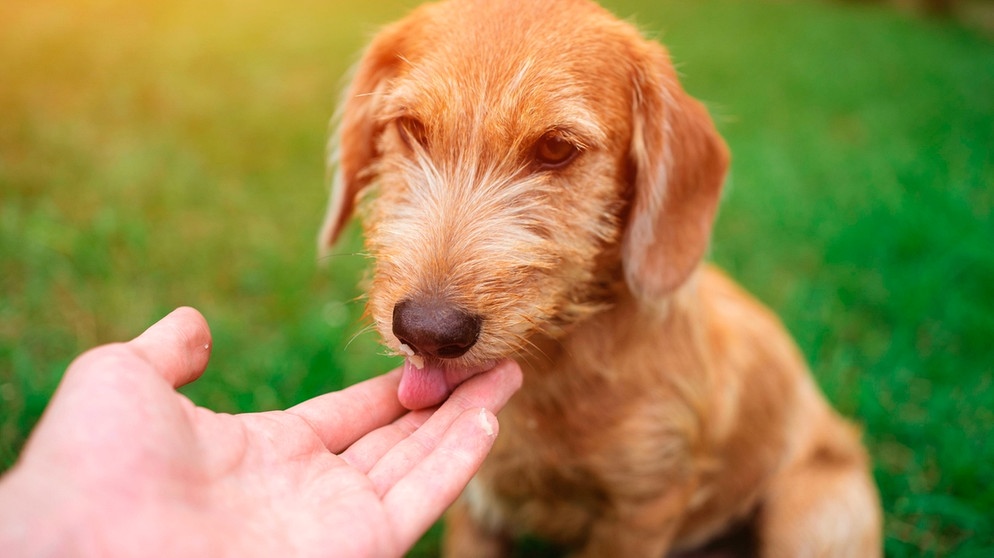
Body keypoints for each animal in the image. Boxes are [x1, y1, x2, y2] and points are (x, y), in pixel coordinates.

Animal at [316, 1, 876, 556]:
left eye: (556, 149)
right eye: (411, 128)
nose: (427, 331)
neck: (551, 369)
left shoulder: (645, 508)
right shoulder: (476, 509)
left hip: (812, 517)